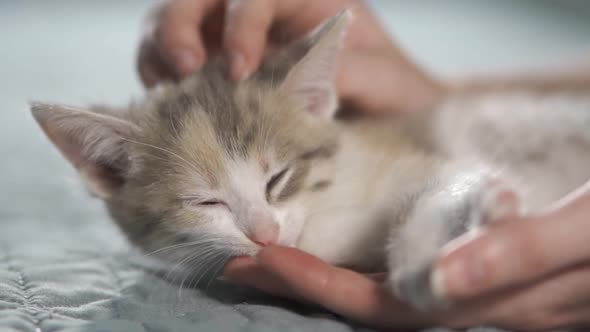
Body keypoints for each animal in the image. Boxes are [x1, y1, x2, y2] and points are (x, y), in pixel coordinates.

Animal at [28, 11, 590, 310]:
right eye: (206, 202)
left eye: (279, 178)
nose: (265, 235)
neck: (328, 221)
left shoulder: (425, 151)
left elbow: (449, 180)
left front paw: (422, 262)